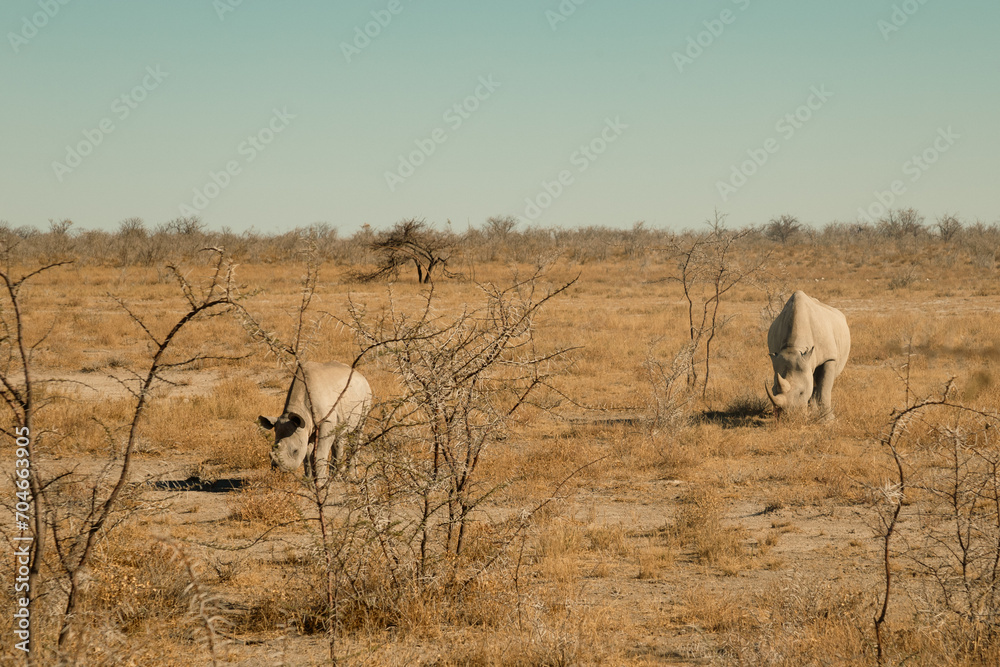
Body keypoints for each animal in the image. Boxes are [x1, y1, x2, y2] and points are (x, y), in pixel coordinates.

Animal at [765, 291, 850, 420]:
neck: (794, 347)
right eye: (773, 390)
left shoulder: (829, 358)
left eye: (802, 392)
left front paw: (828, 420)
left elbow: (825, 388)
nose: (788, 417)